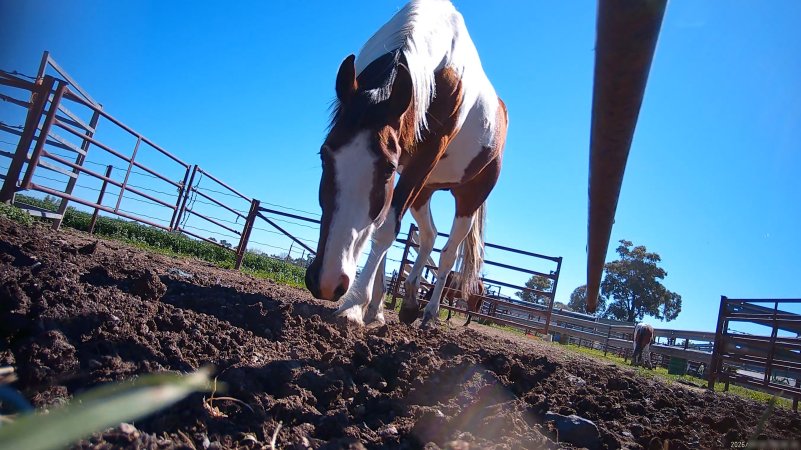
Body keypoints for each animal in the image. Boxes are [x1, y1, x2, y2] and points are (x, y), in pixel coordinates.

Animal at [304, 0, 508, 328]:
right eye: (324, 154)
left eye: (387, 167)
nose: (327, 281)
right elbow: (378, 224)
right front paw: (373, 307)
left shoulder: (420, 161)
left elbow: (386, 228)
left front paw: (353, 307)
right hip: (424, 190)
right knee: (429, 236)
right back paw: (410, 302)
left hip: (468, 196)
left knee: (449, 251)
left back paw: (429, 313)